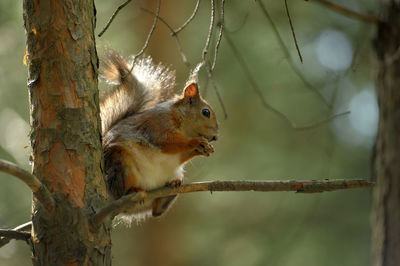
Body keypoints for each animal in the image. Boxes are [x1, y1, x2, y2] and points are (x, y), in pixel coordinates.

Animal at [99, 50, 219, 222]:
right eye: (206, 112)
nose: (216, 137)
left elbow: (179, 155)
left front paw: (203, 149)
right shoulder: (156, 126)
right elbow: (167, 142)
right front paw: (195, 142)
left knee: (156, 211)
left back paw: (172, 187)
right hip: (120, 162)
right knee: (120, 191)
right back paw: (132, 191)